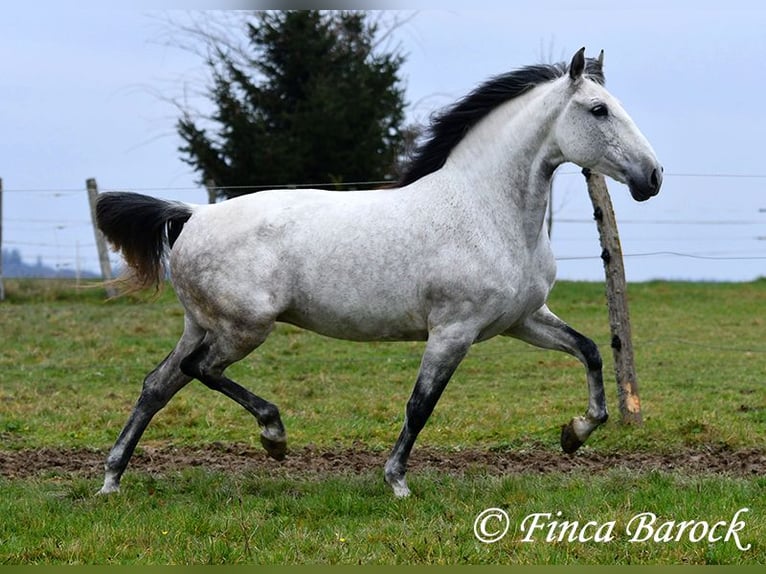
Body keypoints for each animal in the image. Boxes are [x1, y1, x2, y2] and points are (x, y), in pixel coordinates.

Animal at [94, 49, 660, 500]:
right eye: (599, 109)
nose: (652, 178)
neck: (486, 211)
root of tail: (193, 215)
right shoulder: (453, 331)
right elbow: (420, 404)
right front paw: (397, 482)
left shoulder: (522, 320)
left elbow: (590, 350)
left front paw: (575, 433)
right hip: (243, 328)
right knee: (201, 371)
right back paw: (274, 437)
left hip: (203, 325)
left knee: (157, 385)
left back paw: (112, 479)